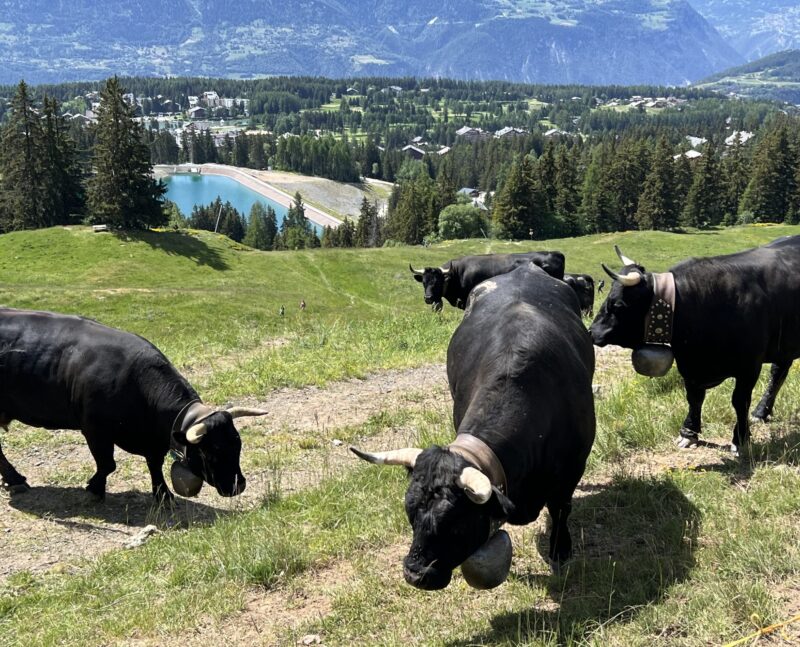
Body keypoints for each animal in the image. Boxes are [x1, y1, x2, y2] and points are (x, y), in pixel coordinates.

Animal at [0, 308, 268, 501]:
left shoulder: (153, 440)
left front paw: (163, 495)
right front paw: (95, 488)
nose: (238, 485)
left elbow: (154, 464)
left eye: (238, 444)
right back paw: (15, 479)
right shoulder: (95, 430)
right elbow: (108, 464)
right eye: (212, 451)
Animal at [353, 262, 596, 590]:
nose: (415, 574)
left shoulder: (572, 467)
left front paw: (561, 550)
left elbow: (560, 509)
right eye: (409, 512)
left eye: (456, 523)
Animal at [590, 239, 800, 454]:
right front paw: (688, 433)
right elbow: (694, 398)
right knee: (778, 372)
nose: (592, 332)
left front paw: (740, 439)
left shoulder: (749, 366)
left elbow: (740, 401)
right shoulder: (689, 368)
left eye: (618, 305)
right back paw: (761, 412)